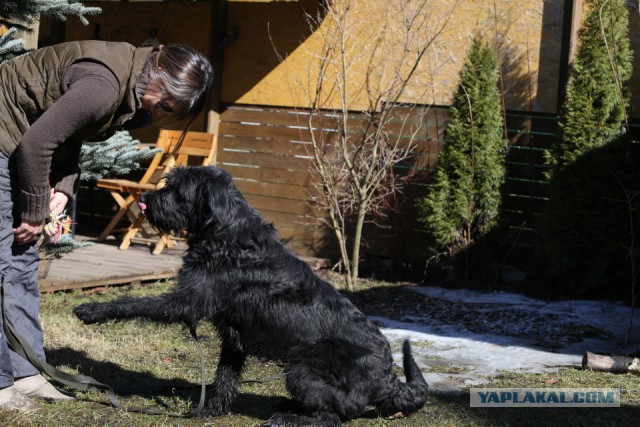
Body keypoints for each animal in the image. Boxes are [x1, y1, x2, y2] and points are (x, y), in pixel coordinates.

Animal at [72, 166, 428, 426]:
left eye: (176, 189)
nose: (146, 199)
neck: (226, 234)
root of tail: (389, 379)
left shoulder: (185, 302)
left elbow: (134, 303)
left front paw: (92, 310)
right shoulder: (233, 338)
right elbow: (225, 378)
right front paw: (209, 410)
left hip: (302, 365)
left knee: (332, 417)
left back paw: (290, 418)